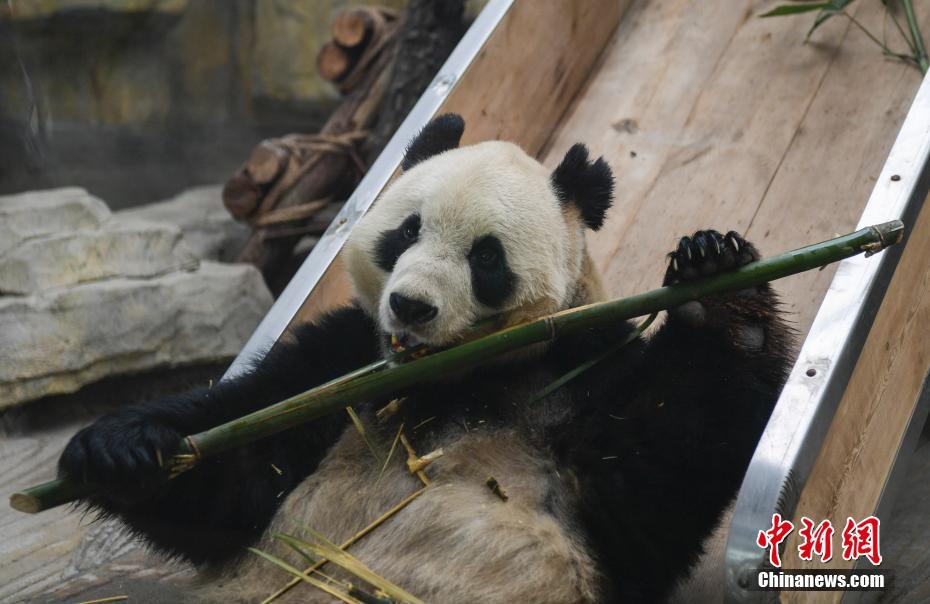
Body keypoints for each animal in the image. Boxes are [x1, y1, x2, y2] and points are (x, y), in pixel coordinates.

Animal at [59, 114, 792, 604]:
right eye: (406, 230)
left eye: (486, 257)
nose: (411, 307)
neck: (452, 379)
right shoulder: (343, 361)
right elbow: (239, 469)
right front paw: (121, 449)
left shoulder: (583, 365)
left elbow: (651, 483)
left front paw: (719, 287)